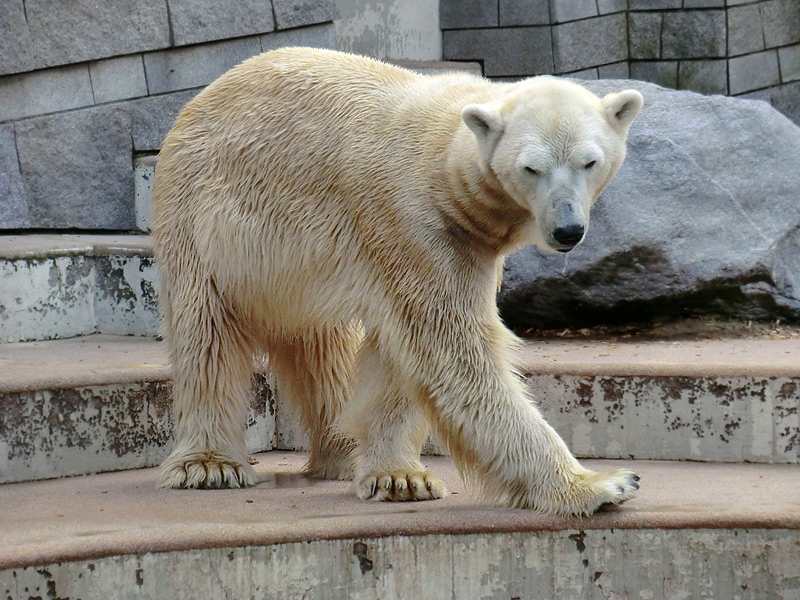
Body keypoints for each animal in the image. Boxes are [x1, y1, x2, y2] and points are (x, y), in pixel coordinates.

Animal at [153, 48, 644, 516]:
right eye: (531, 168)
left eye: (589, 161)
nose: (568, 230)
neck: (442, 164)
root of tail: (201, 98)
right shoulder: (414, 225)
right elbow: (452, 351)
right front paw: (603, 485)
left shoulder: (447, 246)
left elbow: (399, 356)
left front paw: (401, 478)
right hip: (203, 221)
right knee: (208, 336)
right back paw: (210, 464)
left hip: (295, 266)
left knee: (323, 345)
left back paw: (343, 451)